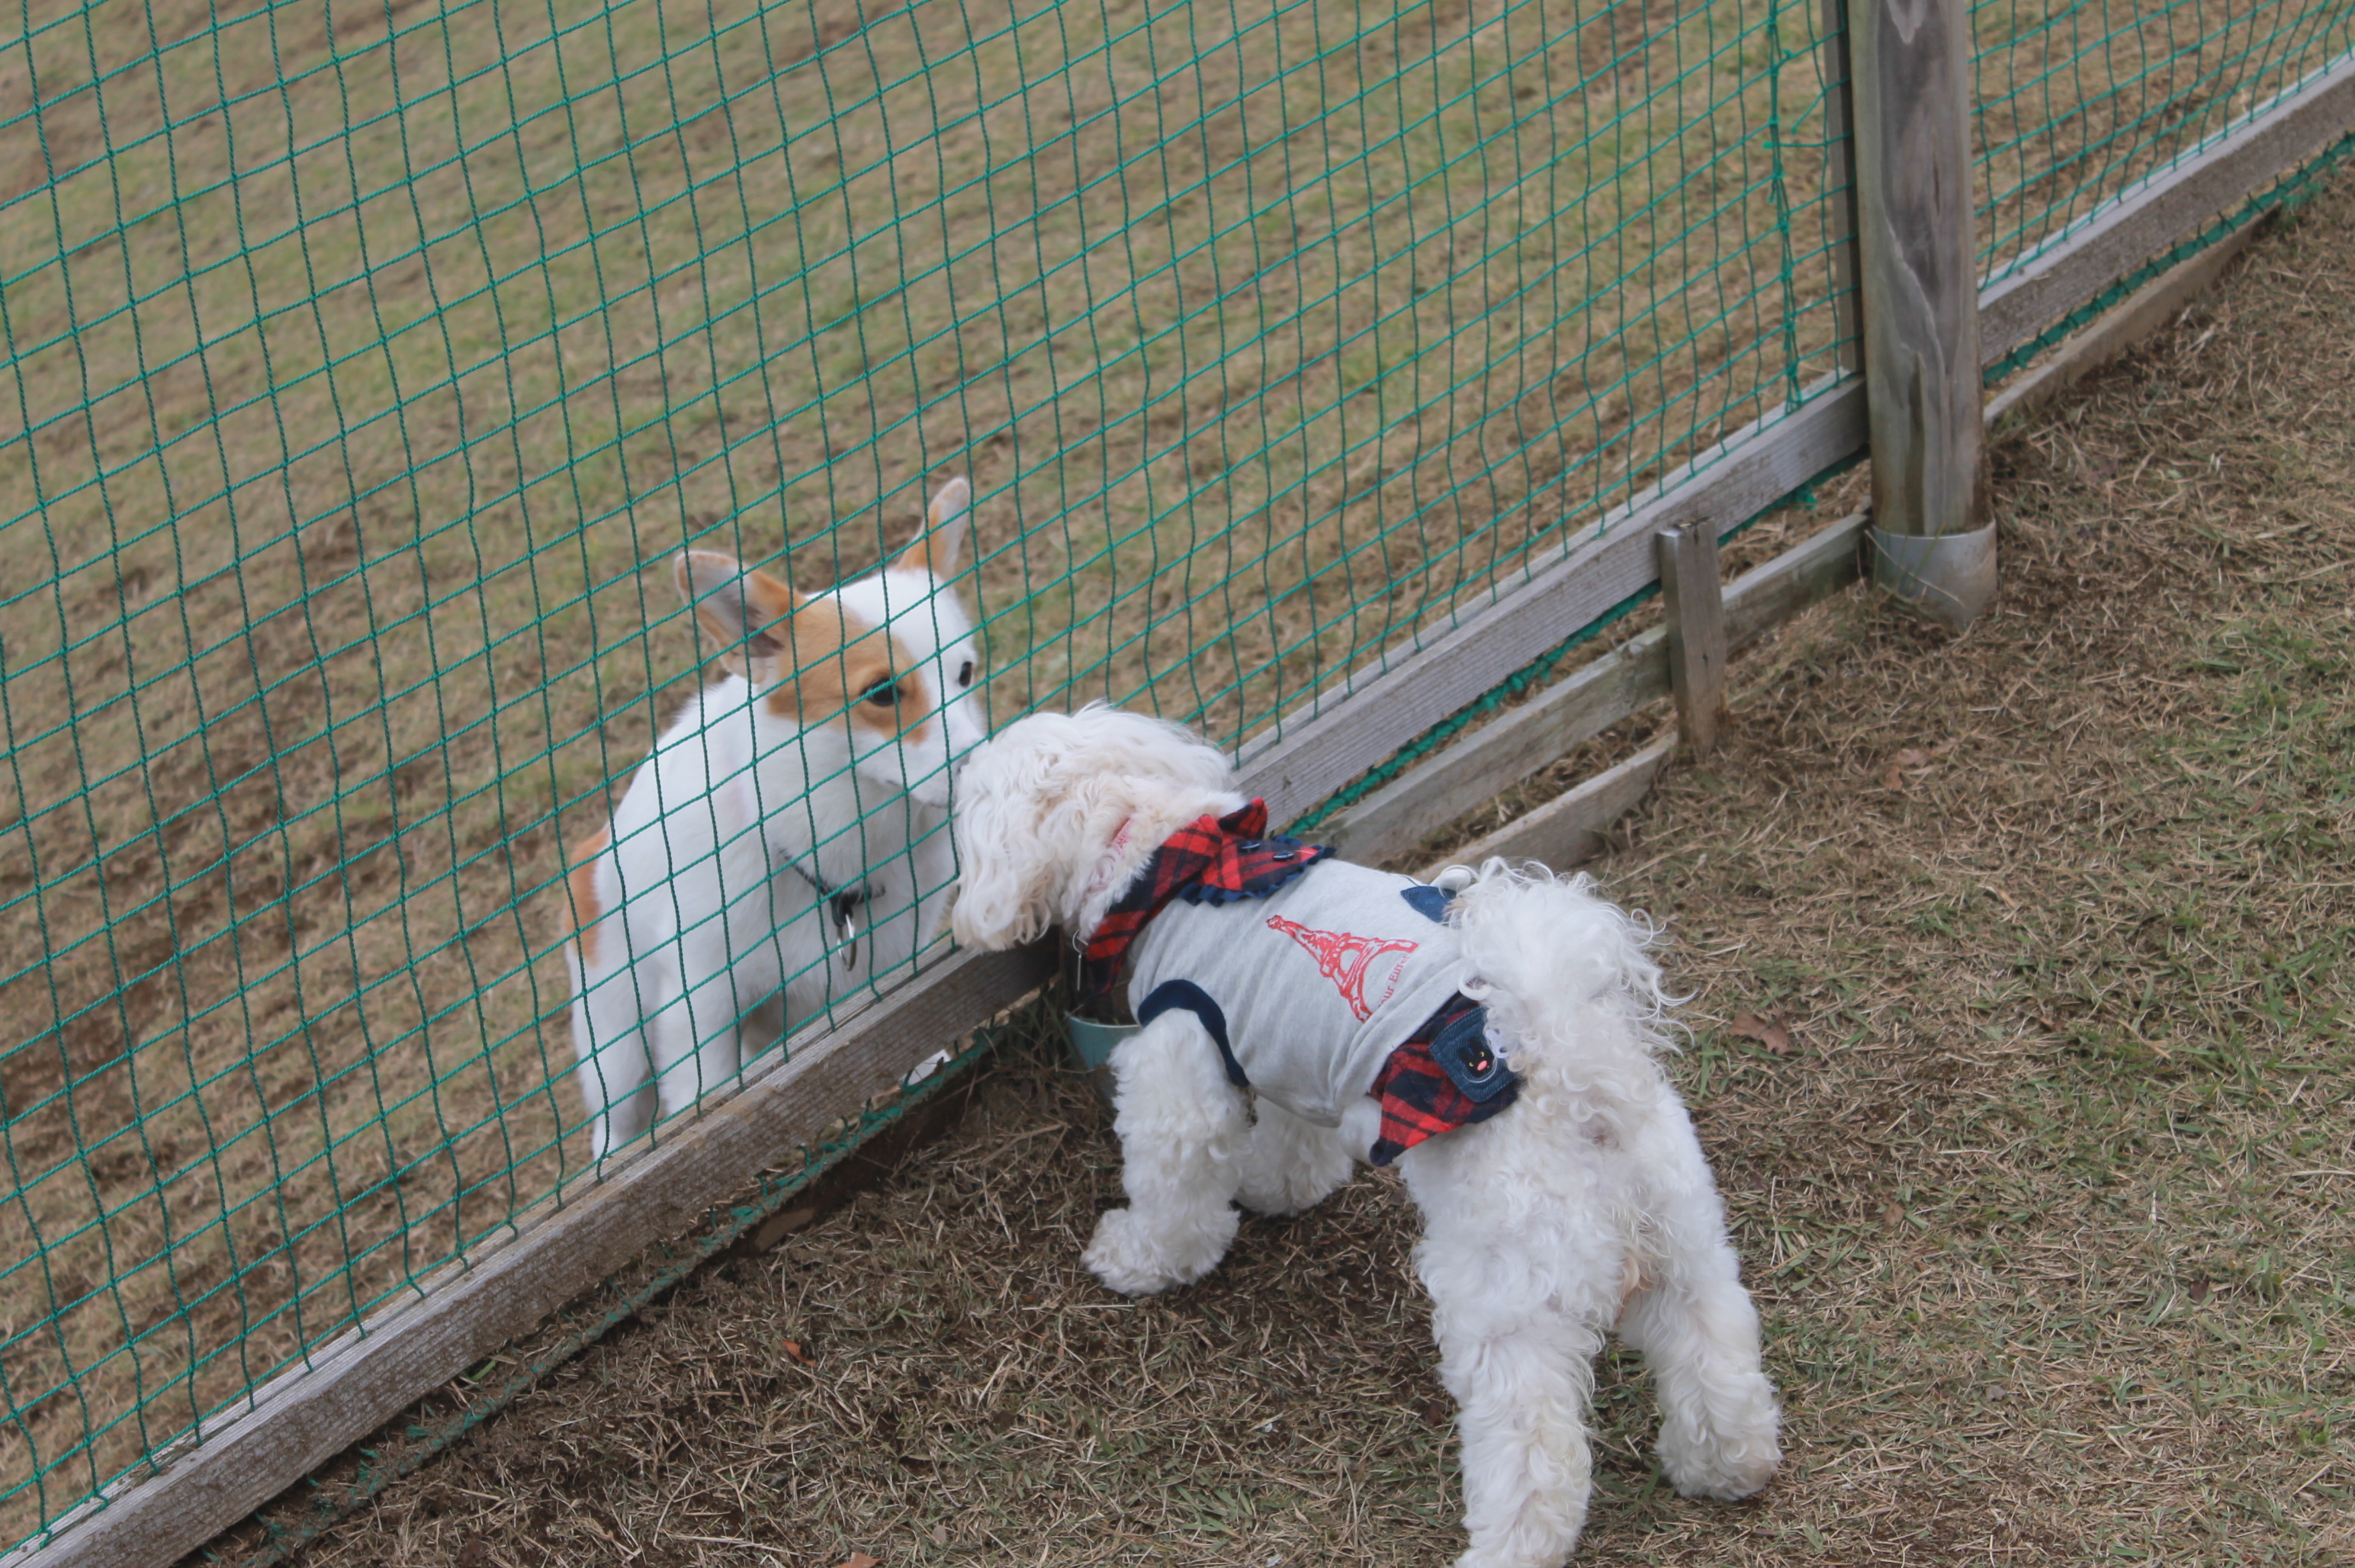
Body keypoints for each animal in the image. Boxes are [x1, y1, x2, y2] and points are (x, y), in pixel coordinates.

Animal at [560, 482, 984, 1153]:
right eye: (881, 693)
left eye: (963, 672)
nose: (985, 762)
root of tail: (592, 850)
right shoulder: (702, 1005)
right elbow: (705, 1100)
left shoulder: (897, 959)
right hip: (618, 1052)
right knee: (616, 1131)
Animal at [946, 701, 1771, 1554]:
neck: (1164, 860)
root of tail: (1574, 1075)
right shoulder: (1292, 1062)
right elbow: (1292, 1148)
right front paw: (1274, 1192)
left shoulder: (1182, 1063)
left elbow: (1175, 1197)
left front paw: (1136, 1258)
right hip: (1682, 1235)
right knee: (1714, 1352)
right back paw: (1723, 1468)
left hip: (1508, 1301)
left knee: (1537, 1454)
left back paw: (1503, 1548)